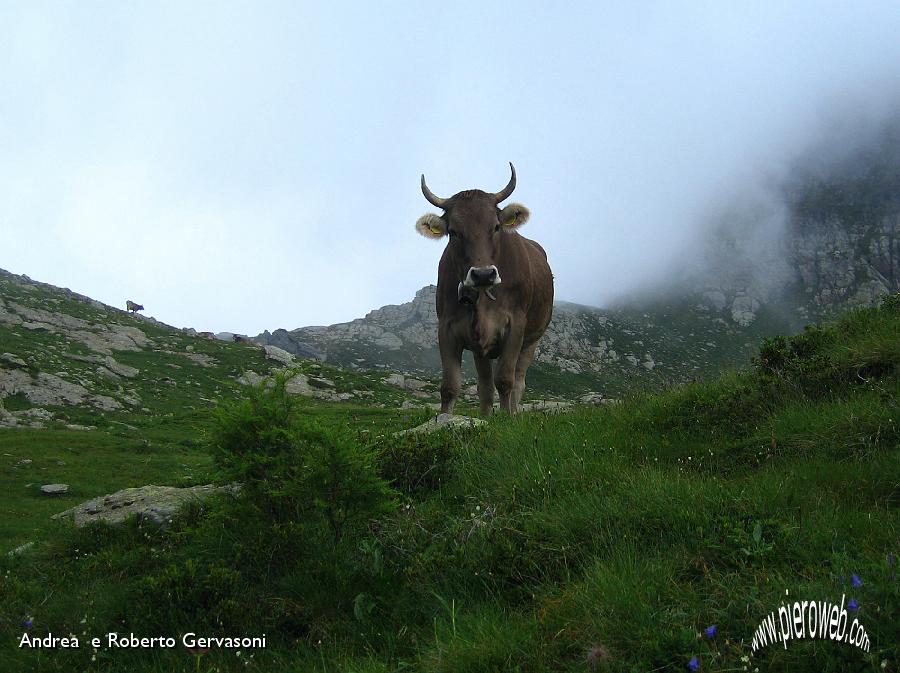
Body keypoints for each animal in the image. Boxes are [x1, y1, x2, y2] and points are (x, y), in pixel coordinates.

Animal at [418, 164, 552, 414]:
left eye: (496, 226)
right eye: (453, 232)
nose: (482, 274)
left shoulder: (515, 324)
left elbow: (505, 380)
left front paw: (508, 417)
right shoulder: (448, 327)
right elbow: (450, 386)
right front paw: (444, 418)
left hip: (532, 339)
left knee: (518, 381)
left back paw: (515, 412)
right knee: (485, 385)